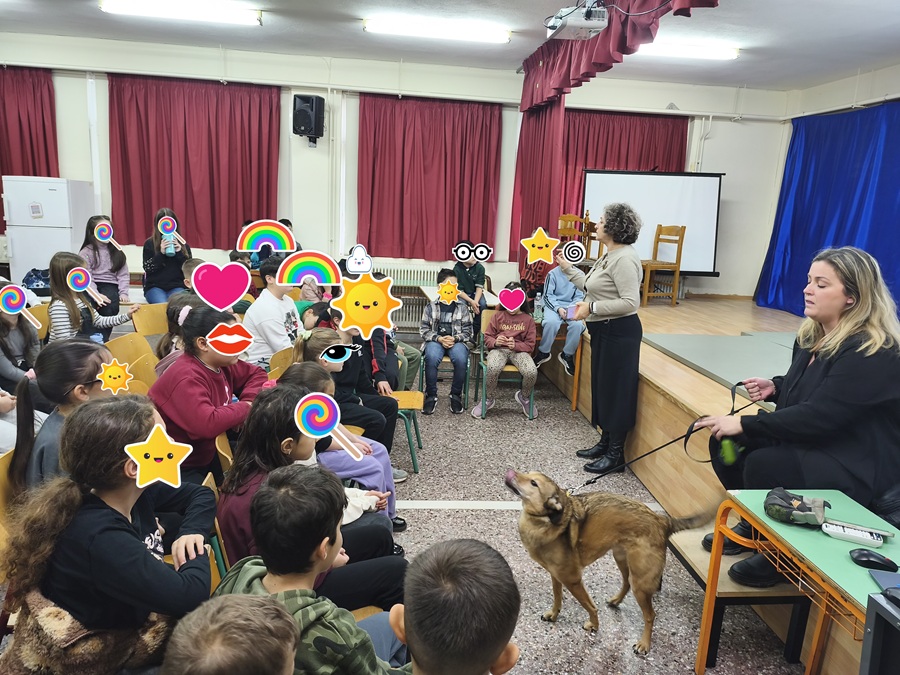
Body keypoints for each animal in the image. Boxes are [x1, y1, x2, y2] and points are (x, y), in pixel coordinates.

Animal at [505, 469, 717, 655]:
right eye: (528, 474)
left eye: (534, 483)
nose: (510, 472)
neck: (544, 520)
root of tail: (662, 521)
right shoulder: (556, 575)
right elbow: (557, 597)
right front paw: (554, 614)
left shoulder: (573, 580)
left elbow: (589, 605)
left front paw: (594, 625)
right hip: (621, 559)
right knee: (626, 583)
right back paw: (616, 601)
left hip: (641, 582)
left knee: (650, 615)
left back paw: (644, 644)